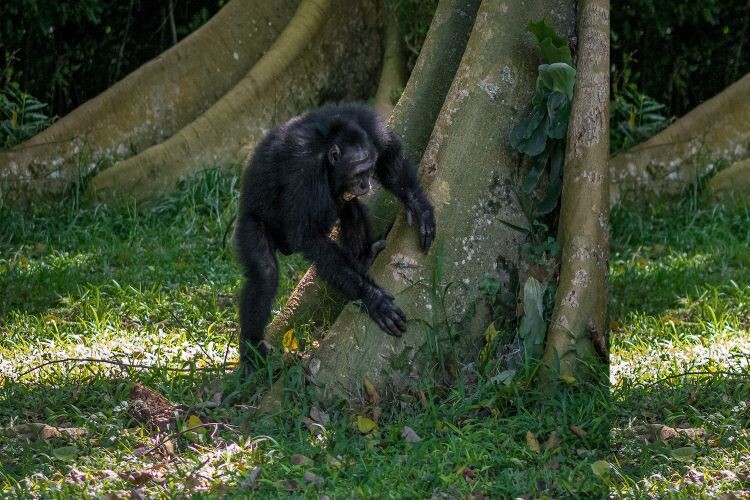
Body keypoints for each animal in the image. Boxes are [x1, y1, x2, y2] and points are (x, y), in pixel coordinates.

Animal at [234, 101, 434, 376]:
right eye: (358, 173)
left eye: (368, 169)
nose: (364, 184)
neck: (328, 143)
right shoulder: (304, 173)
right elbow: (310, 237)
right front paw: (372, 298)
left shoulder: (368, 122)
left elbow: (389, 155)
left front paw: (419, 206)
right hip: (249, 222)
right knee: (264, 273)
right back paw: (251, 353)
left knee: (351, 209)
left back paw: (365, 256)